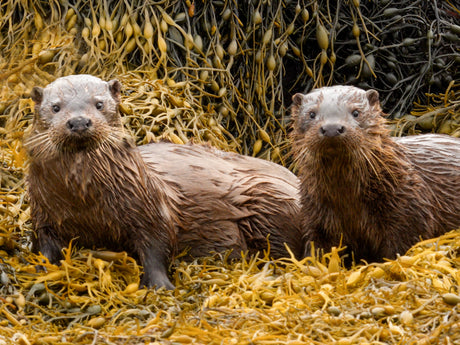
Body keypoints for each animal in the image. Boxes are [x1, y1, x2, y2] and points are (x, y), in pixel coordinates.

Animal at [27, 75, 304, 288]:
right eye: (55, 107)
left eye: (99, 104)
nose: (79, 121)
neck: (84, 203)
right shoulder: (43, 215)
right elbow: (45, 246)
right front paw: (42, 273)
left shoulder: (149, 208)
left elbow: (156, 246)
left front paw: (159, 285)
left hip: (269, 196)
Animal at [292, 84, 460, 262]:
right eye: (311, 114)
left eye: (356, 112)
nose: (332, 128)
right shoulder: (316, 214)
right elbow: (316, 247)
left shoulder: (410, 210)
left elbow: (403, 244)